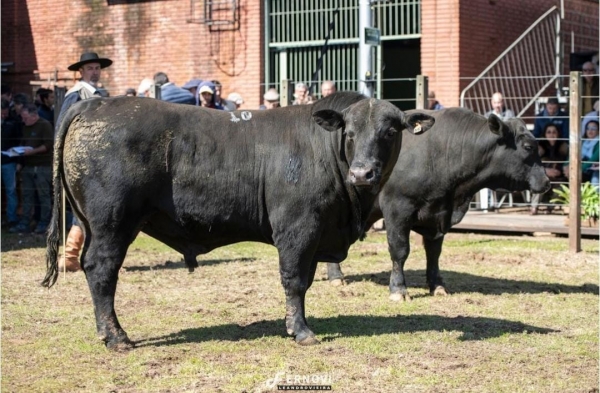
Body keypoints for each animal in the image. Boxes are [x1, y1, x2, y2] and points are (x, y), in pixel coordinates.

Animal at [43, 92, 436, 350]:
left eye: (390, 131)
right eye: (349, 133)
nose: (363, 173)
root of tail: (96, 102)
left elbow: (305, 280)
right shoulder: (297, 227)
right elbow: (294, 281)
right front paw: (301, 331)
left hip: (93, 223)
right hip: (113, 223)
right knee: (101, 270)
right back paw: (117, 337)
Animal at [326, 106, 552, 298]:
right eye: (528, 146)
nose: (546, 181)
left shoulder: (439, 213)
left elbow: (434, 253)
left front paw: (437, 285)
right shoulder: (397, 209)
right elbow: (399, 249)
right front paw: (398, 288)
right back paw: (336, 276)